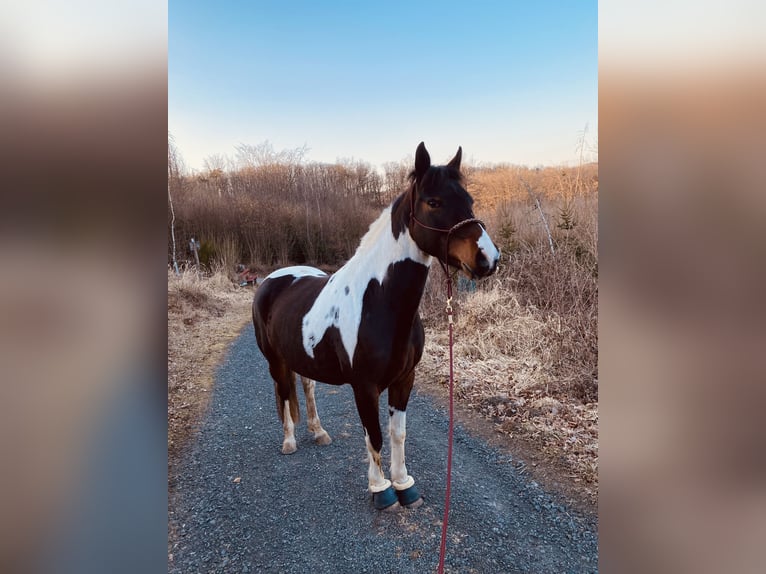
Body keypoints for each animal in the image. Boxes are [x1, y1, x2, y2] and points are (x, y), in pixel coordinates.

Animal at [252, 142, 500, 510]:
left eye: (469, 200)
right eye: (433, 202)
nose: (488, 258)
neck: (379, 302)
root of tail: (272, 279)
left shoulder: (404, 379)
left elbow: (398, 433)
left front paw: (404, 484)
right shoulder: (364, 386)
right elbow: (375, 434)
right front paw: (381, 490)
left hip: (302, 356)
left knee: (307, 387)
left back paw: (318, 432)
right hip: (275, 359)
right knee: (283, 392)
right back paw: (289, 441)